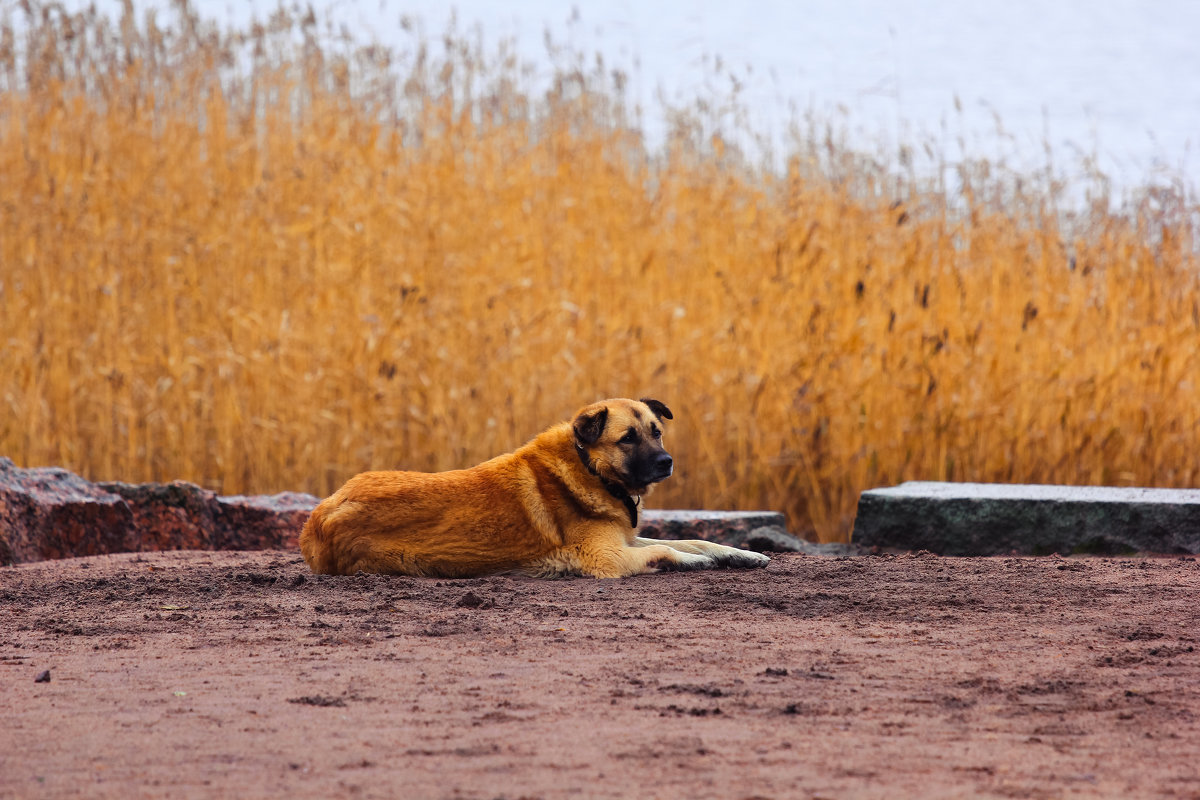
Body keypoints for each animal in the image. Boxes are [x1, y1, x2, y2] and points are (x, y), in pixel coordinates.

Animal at [298, 398, 768, 578]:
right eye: (628, 438)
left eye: (657, 432)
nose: (667, 463)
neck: (589, 468)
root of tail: (318, 517)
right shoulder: (608, 557)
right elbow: (670, 549)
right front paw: (695, 563)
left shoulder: (625, 538)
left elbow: (693, 540)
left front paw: (742, 554)